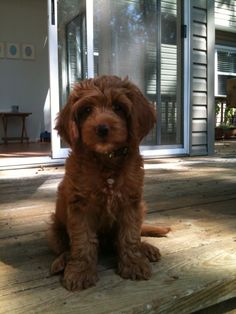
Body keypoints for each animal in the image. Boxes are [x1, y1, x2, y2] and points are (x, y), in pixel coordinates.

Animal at [48, 75, 170, 290]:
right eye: (87, 110)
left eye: (118, 107)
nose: (102, 129)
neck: (106, 159)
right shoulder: (80, 206)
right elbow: (82, 241)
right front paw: (80, 272)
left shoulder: (131, 202)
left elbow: (130, 236)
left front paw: (134, 264)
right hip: (54, 228)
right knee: (64, 246)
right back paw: (62, 261)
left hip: (142, 208)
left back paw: (146, 249)